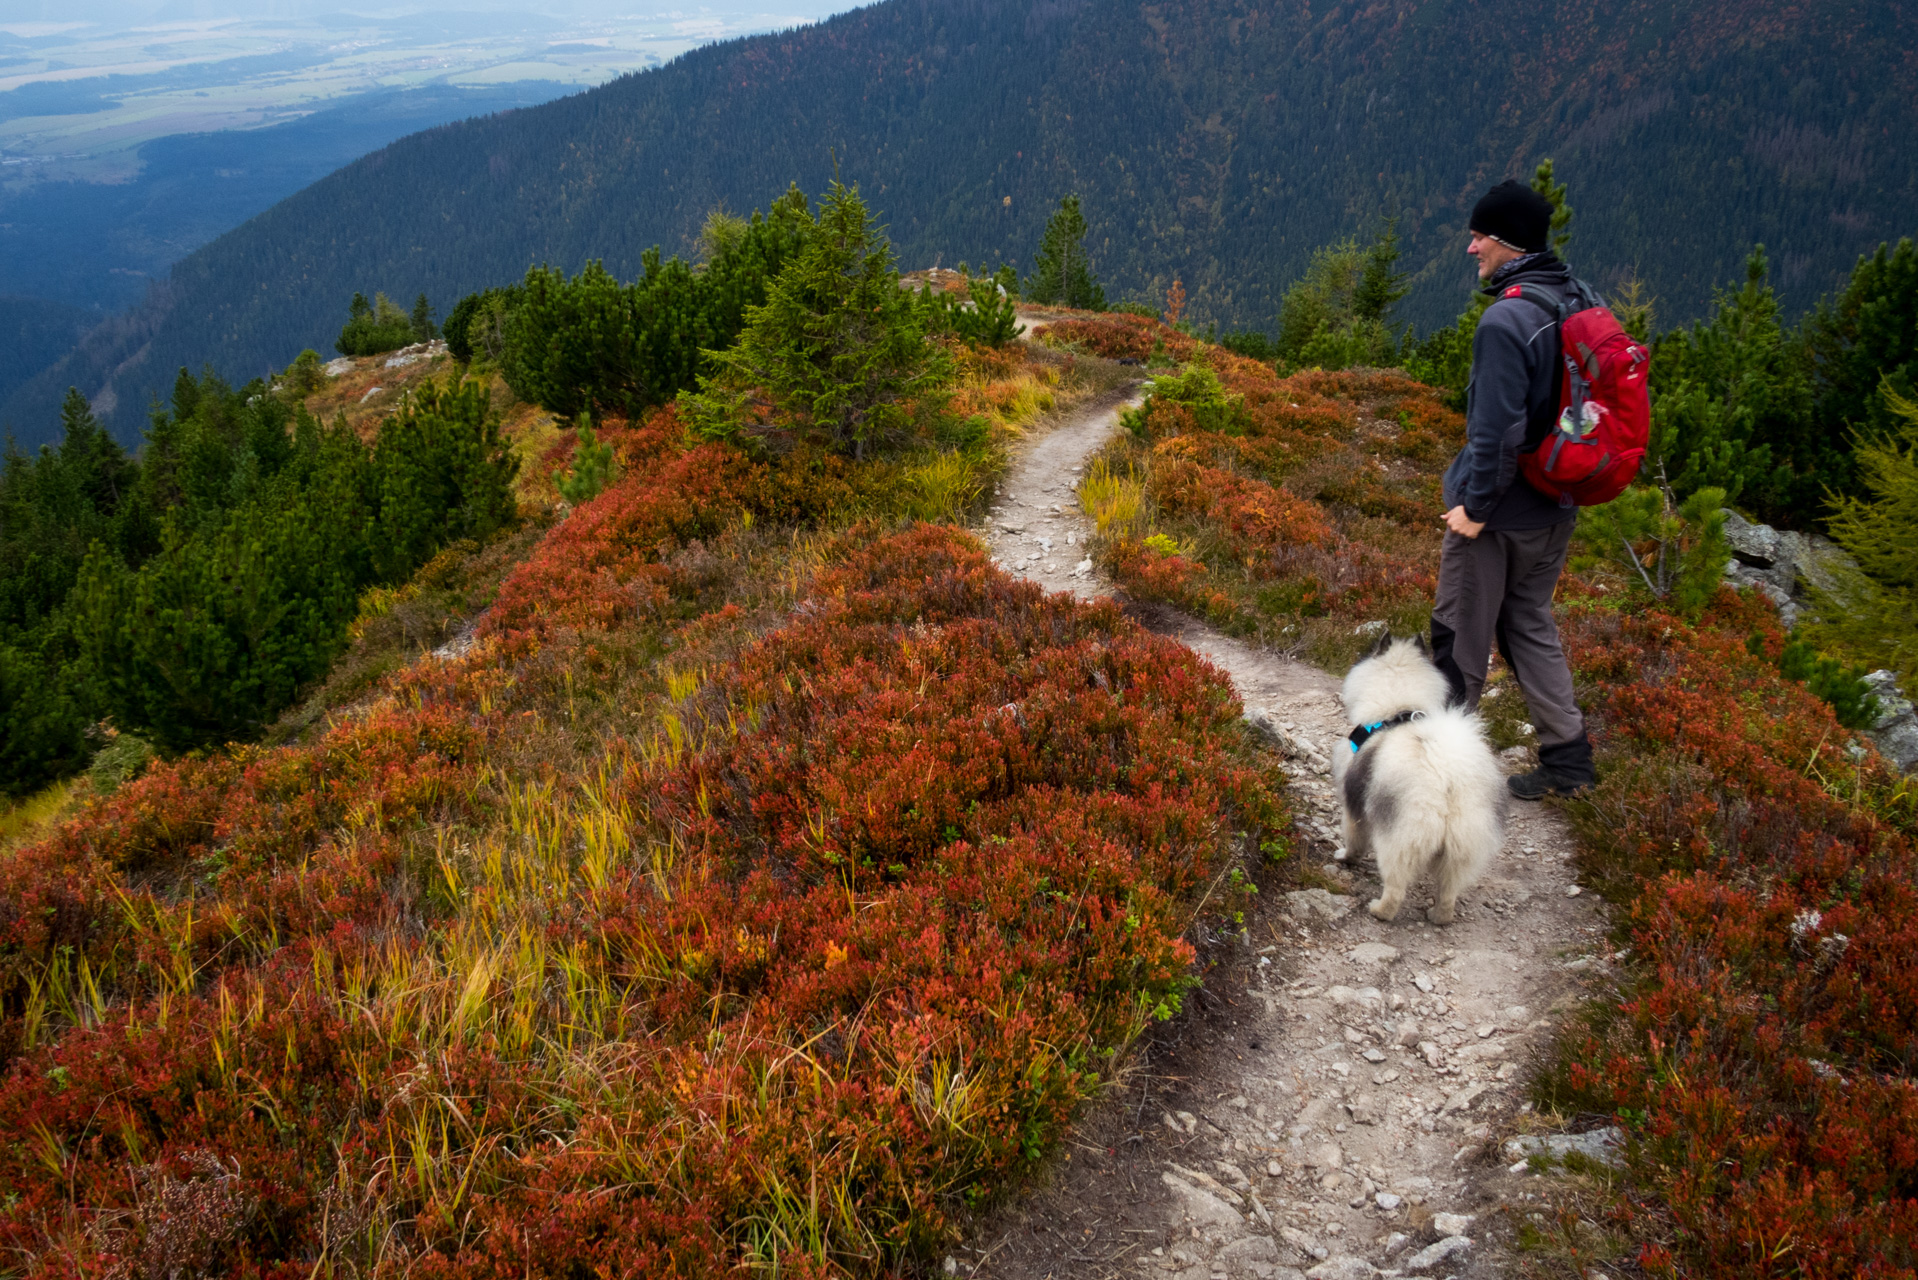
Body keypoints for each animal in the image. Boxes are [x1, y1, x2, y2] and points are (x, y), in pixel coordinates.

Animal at [1327, 637, 1503, 924]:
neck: (1397, 708)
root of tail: (1447, 780)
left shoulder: (1353, 804)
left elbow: (1354, 838)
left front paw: (1346, 857)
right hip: (1462, 847)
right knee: (1448, 892)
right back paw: (1438, 915)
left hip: (1398, 840)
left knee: (1396, 888)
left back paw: (1379, 910)